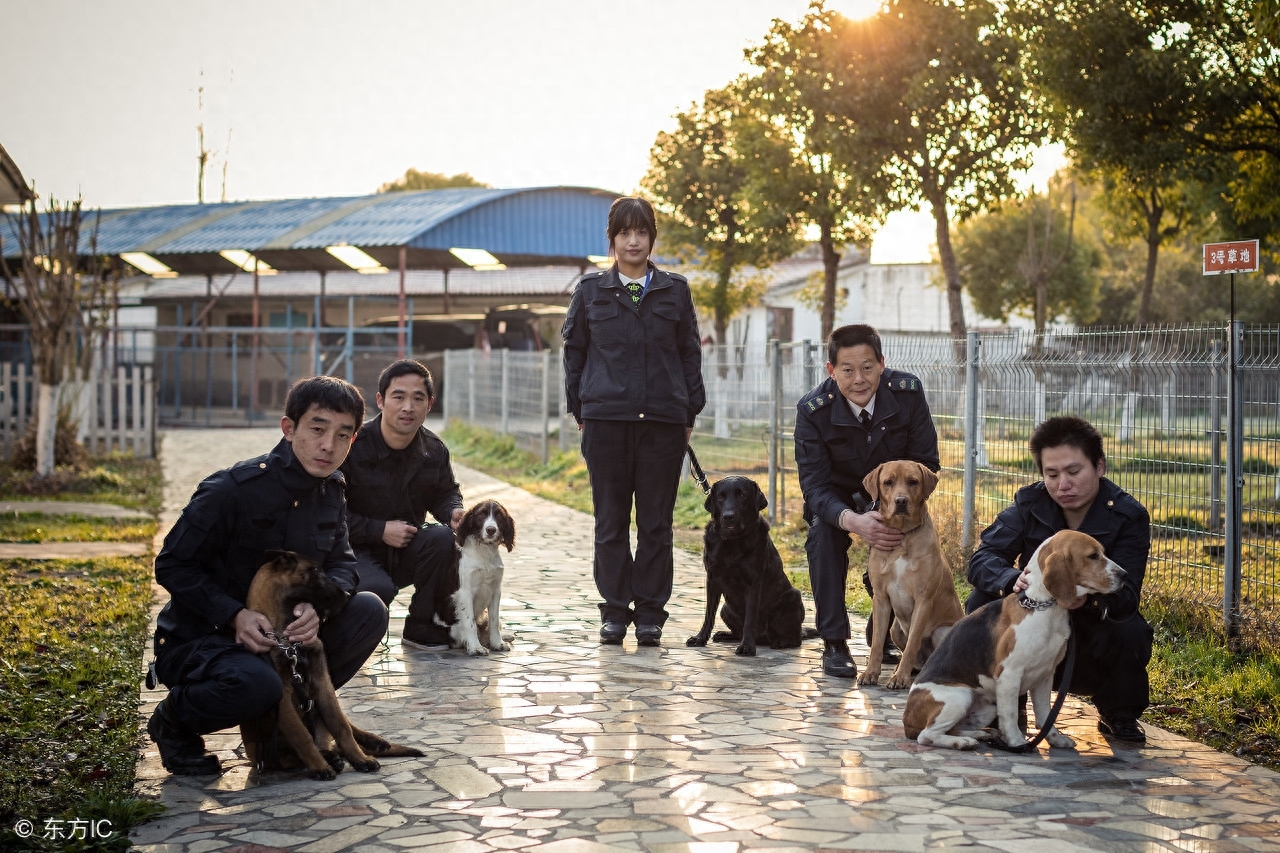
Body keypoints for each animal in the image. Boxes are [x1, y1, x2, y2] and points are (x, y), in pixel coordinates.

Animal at [238, 550, 422, 778]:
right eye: (316, 571)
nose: (346, 594)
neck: (288, 640)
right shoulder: (283, 699)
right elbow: (302, 737)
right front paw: (319, 766)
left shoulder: (322, 682)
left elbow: (342, 726)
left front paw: (360, 758)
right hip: (266, 752)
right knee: (296, 755)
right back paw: (329, 758)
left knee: (345, 728)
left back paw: (372, 742)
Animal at [448, 494, 512, 653]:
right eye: (482, 514)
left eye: (499, 515)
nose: (491, 530)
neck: (484, 553)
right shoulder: (465, 592)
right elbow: (470, 622)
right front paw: (475, 647)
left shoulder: (496, 590)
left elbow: (494, 620)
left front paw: (498, 643)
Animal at [686, 473, 803, 653]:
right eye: (720, 497)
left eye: (742, 495)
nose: (728, 517)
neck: (732, 542)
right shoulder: (712, 580)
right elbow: (708, 614)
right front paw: (700, 638)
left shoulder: (753, 583)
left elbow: (750, 618)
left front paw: (747, 646)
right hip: (726, 608)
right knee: (737, 630)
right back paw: (725, 635)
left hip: (793, 597)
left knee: (795, 638)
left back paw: (780, 641)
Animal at [860, 458, 962, 691]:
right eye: (888, 482)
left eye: (913, 482)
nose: (901, 501)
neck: (903, 534)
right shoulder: (881, 597)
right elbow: (877, 643)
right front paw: (871, 673)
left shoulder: (924, 599)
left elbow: (913, 643)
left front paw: (900, 678)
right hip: (895, 629)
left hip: (942, 631)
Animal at [901, 527, 1121, 747]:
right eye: (1093, 556)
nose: (1124, 575)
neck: (1042, 606)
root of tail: (907, 720)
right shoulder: (1010, 675)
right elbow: (1010, 714)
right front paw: (1017, 741)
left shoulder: (1045, 676)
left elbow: (1045, 714)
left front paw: (1055, 739)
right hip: (959, 696)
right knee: (927, 735)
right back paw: (962, 742)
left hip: (988, 706)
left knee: (954, 729)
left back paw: (979, 735)